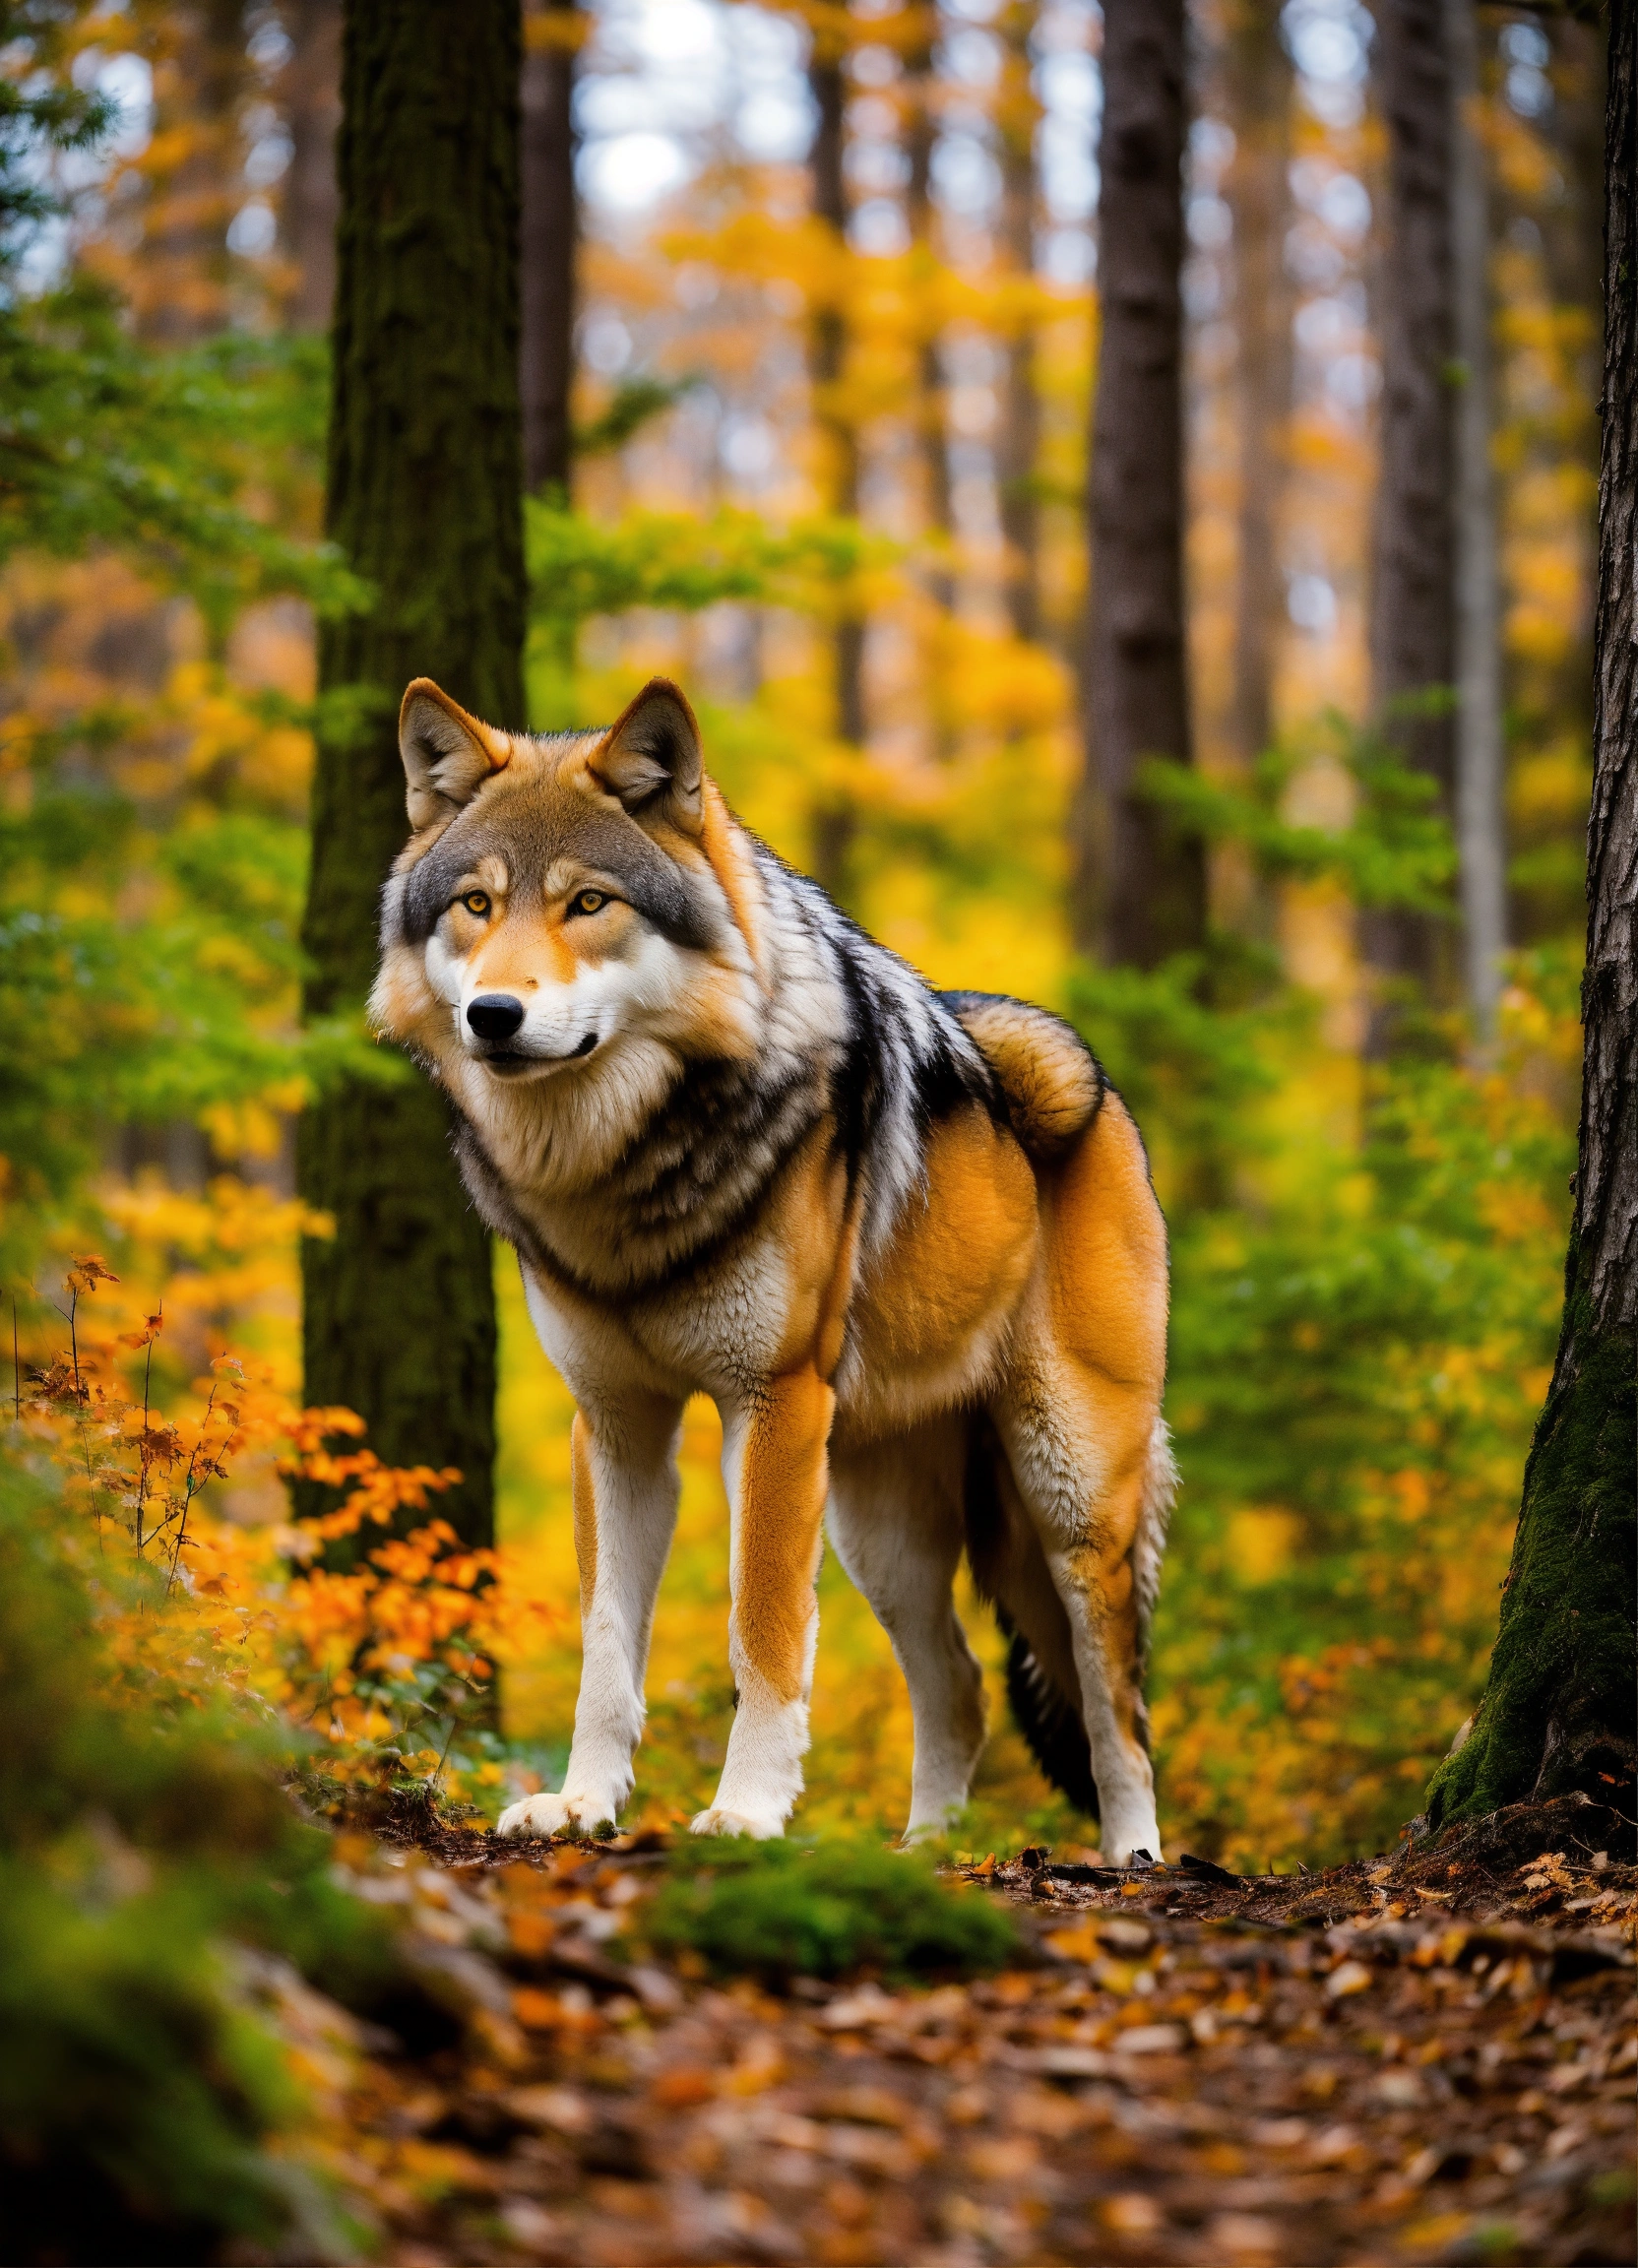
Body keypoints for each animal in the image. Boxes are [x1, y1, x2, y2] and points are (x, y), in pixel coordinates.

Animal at [371, 674, 1176, 1860]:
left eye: (588, 904)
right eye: (476, 905)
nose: (493, 1015)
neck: (622, 1180)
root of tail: (1079, 1076)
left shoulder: (772, 1406)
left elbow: (762, 1635)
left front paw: (745, 1812)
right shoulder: (614, 1424)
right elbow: (605, 1652)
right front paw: (579, 1804)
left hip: (1067, 1496)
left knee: (1116, 1706)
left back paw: (1131, 1856)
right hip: (881, 1533)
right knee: (962, 1685)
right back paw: (922, 1853)